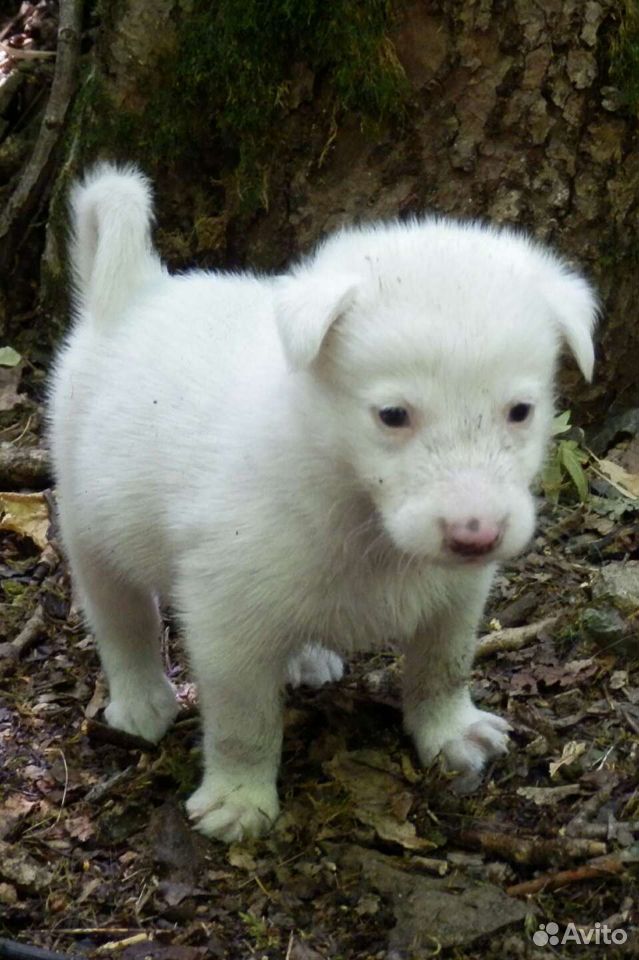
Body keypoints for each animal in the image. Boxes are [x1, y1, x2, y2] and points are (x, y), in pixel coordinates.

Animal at [48, 163, 596, 840]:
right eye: (392, 415)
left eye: (521, 411)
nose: (476, 536)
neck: (352, 501)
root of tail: (134, 293)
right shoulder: (225, 621)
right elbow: (244, 722)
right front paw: (239, 798)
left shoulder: (455, 599)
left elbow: (442, 668)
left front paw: (450, 732)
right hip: (90, 529)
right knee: (123, 622)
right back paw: (141, 699)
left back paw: (305, 659)